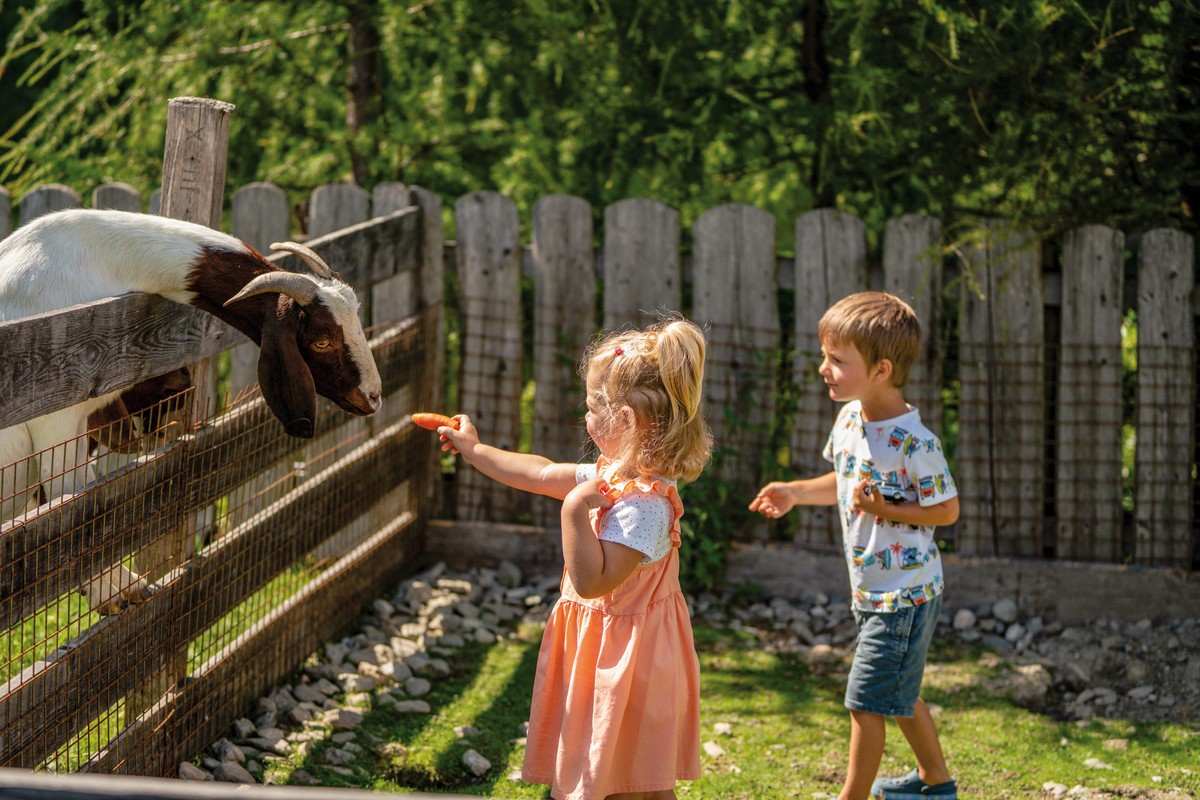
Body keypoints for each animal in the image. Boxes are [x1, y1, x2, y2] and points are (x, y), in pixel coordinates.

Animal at [0, 209, 381, 618]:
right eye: (322, 341)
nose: (373, 396)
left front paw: (124, 586)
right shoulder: (56, 421)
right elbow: (70, 506)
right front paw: (111, 593)